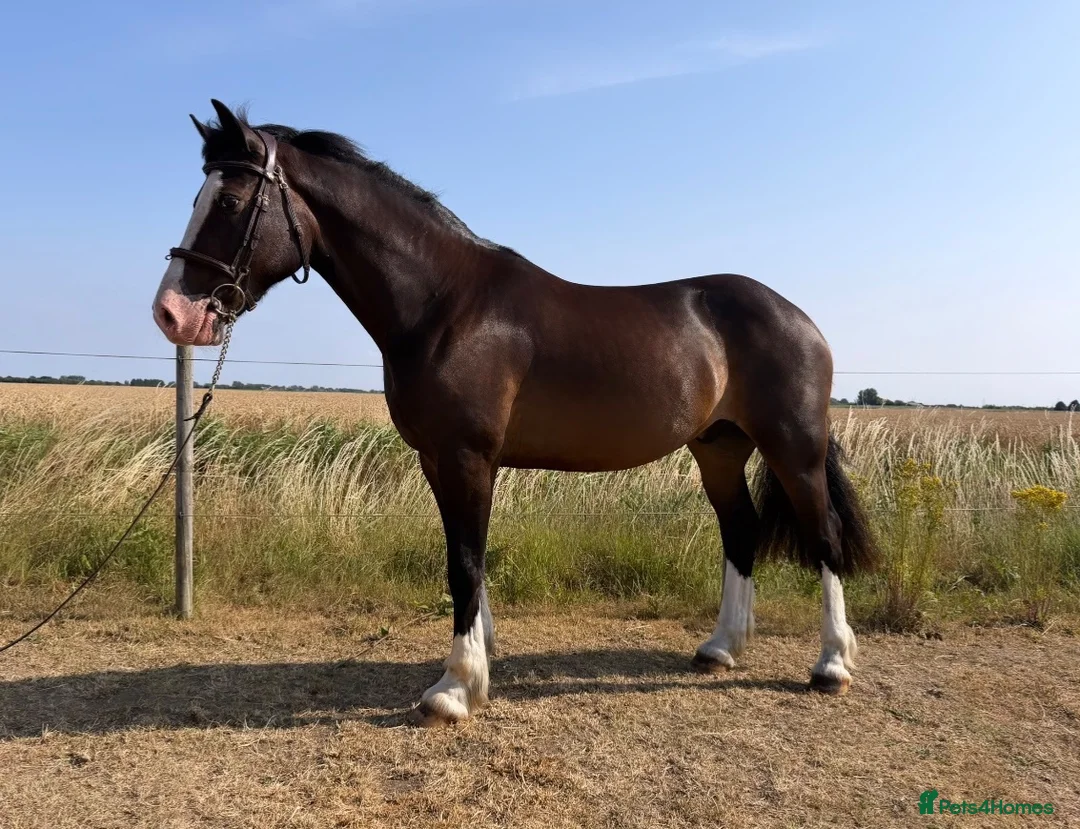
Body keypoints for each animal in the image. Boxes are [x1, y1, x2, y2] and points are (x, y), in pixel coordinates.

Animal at [153, 100, 879, 727]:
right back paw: (721, 647)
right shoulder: (439, 459)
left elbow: (465, 562)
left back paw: (831, 664)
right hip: (719, 446)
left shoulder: (467, 456)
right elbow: (465, 555)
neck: (445, 303)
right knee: (740, 530)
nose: (173, 313)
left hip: (793, 448)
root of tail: (797, 316)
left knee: (823, 535)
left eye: (230, 200)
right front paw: (478, 656)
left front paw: (455, 687)